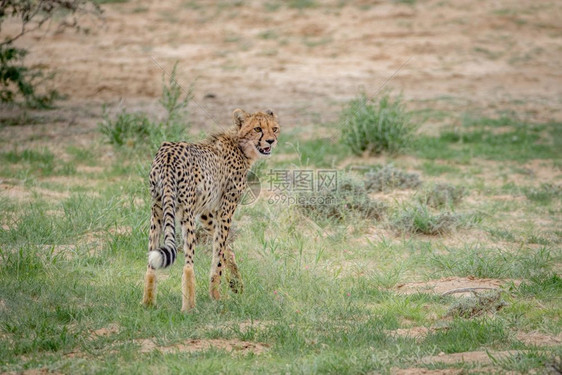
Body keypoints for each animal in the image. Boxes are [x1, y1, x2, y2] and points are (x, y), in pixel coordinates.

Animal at [141, 108, 278, 312]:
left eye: (274, 128)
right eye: (257, 128)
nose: (271, 141)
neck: (240, 145)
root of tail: (168, 153)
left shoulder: (205, 212)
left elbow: (225, 246)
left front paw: (235, 283)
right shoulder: (225, 208)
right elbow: (219, 250)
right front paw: (216, 296)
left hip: (157, 211)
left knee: (151, 261)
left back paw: (148, 303)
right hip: (186, 215)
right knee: (188, 264)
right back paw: (189, 307)